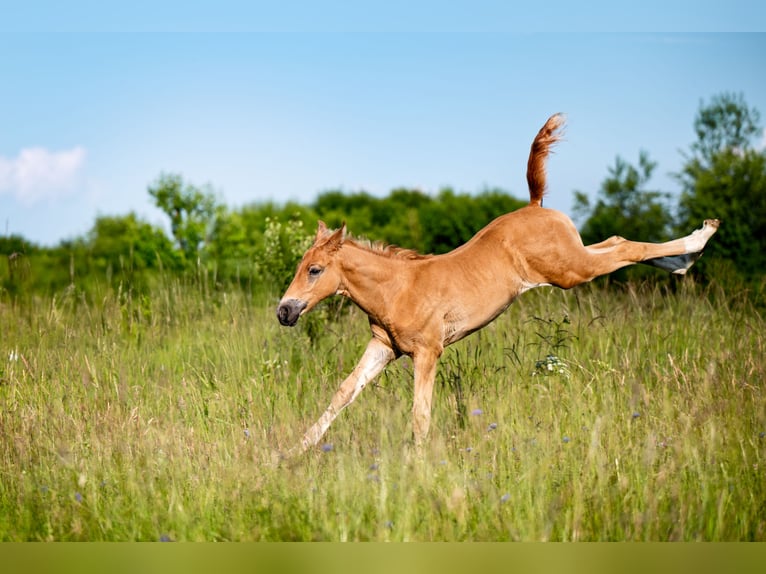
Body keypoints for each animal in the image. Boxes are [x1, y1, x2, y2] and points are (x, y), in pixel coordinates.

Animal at [276, 114, 719, 455]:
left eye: (314, 269)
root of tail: (536, 206)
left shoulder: (427, 352)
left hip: (570, 271)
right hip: (572, 259)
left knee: (625, 246)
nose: (284, 311)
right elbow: (343, 393)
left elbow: (420, 413)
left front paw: (417, 463)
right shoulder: (384, 347)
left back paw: (702, 236)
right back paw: (685, 261)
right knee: (615, 243)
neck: (397, 289)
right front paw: (293, 453)